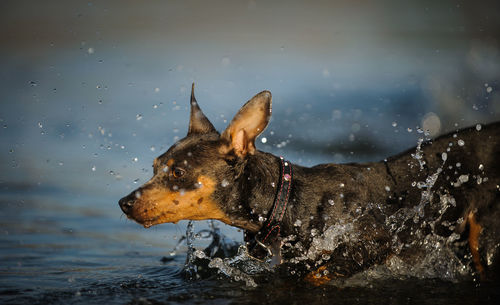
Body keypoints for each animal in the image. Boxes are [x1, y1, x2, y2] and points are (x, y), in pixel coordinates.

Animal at [118, 84, 500, 284]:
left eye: (178, 174)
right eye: (154, 167)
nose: (124, 203)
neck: (287, 204)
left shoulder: (375, 241)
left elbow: (321, 271)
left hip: (486, 237)